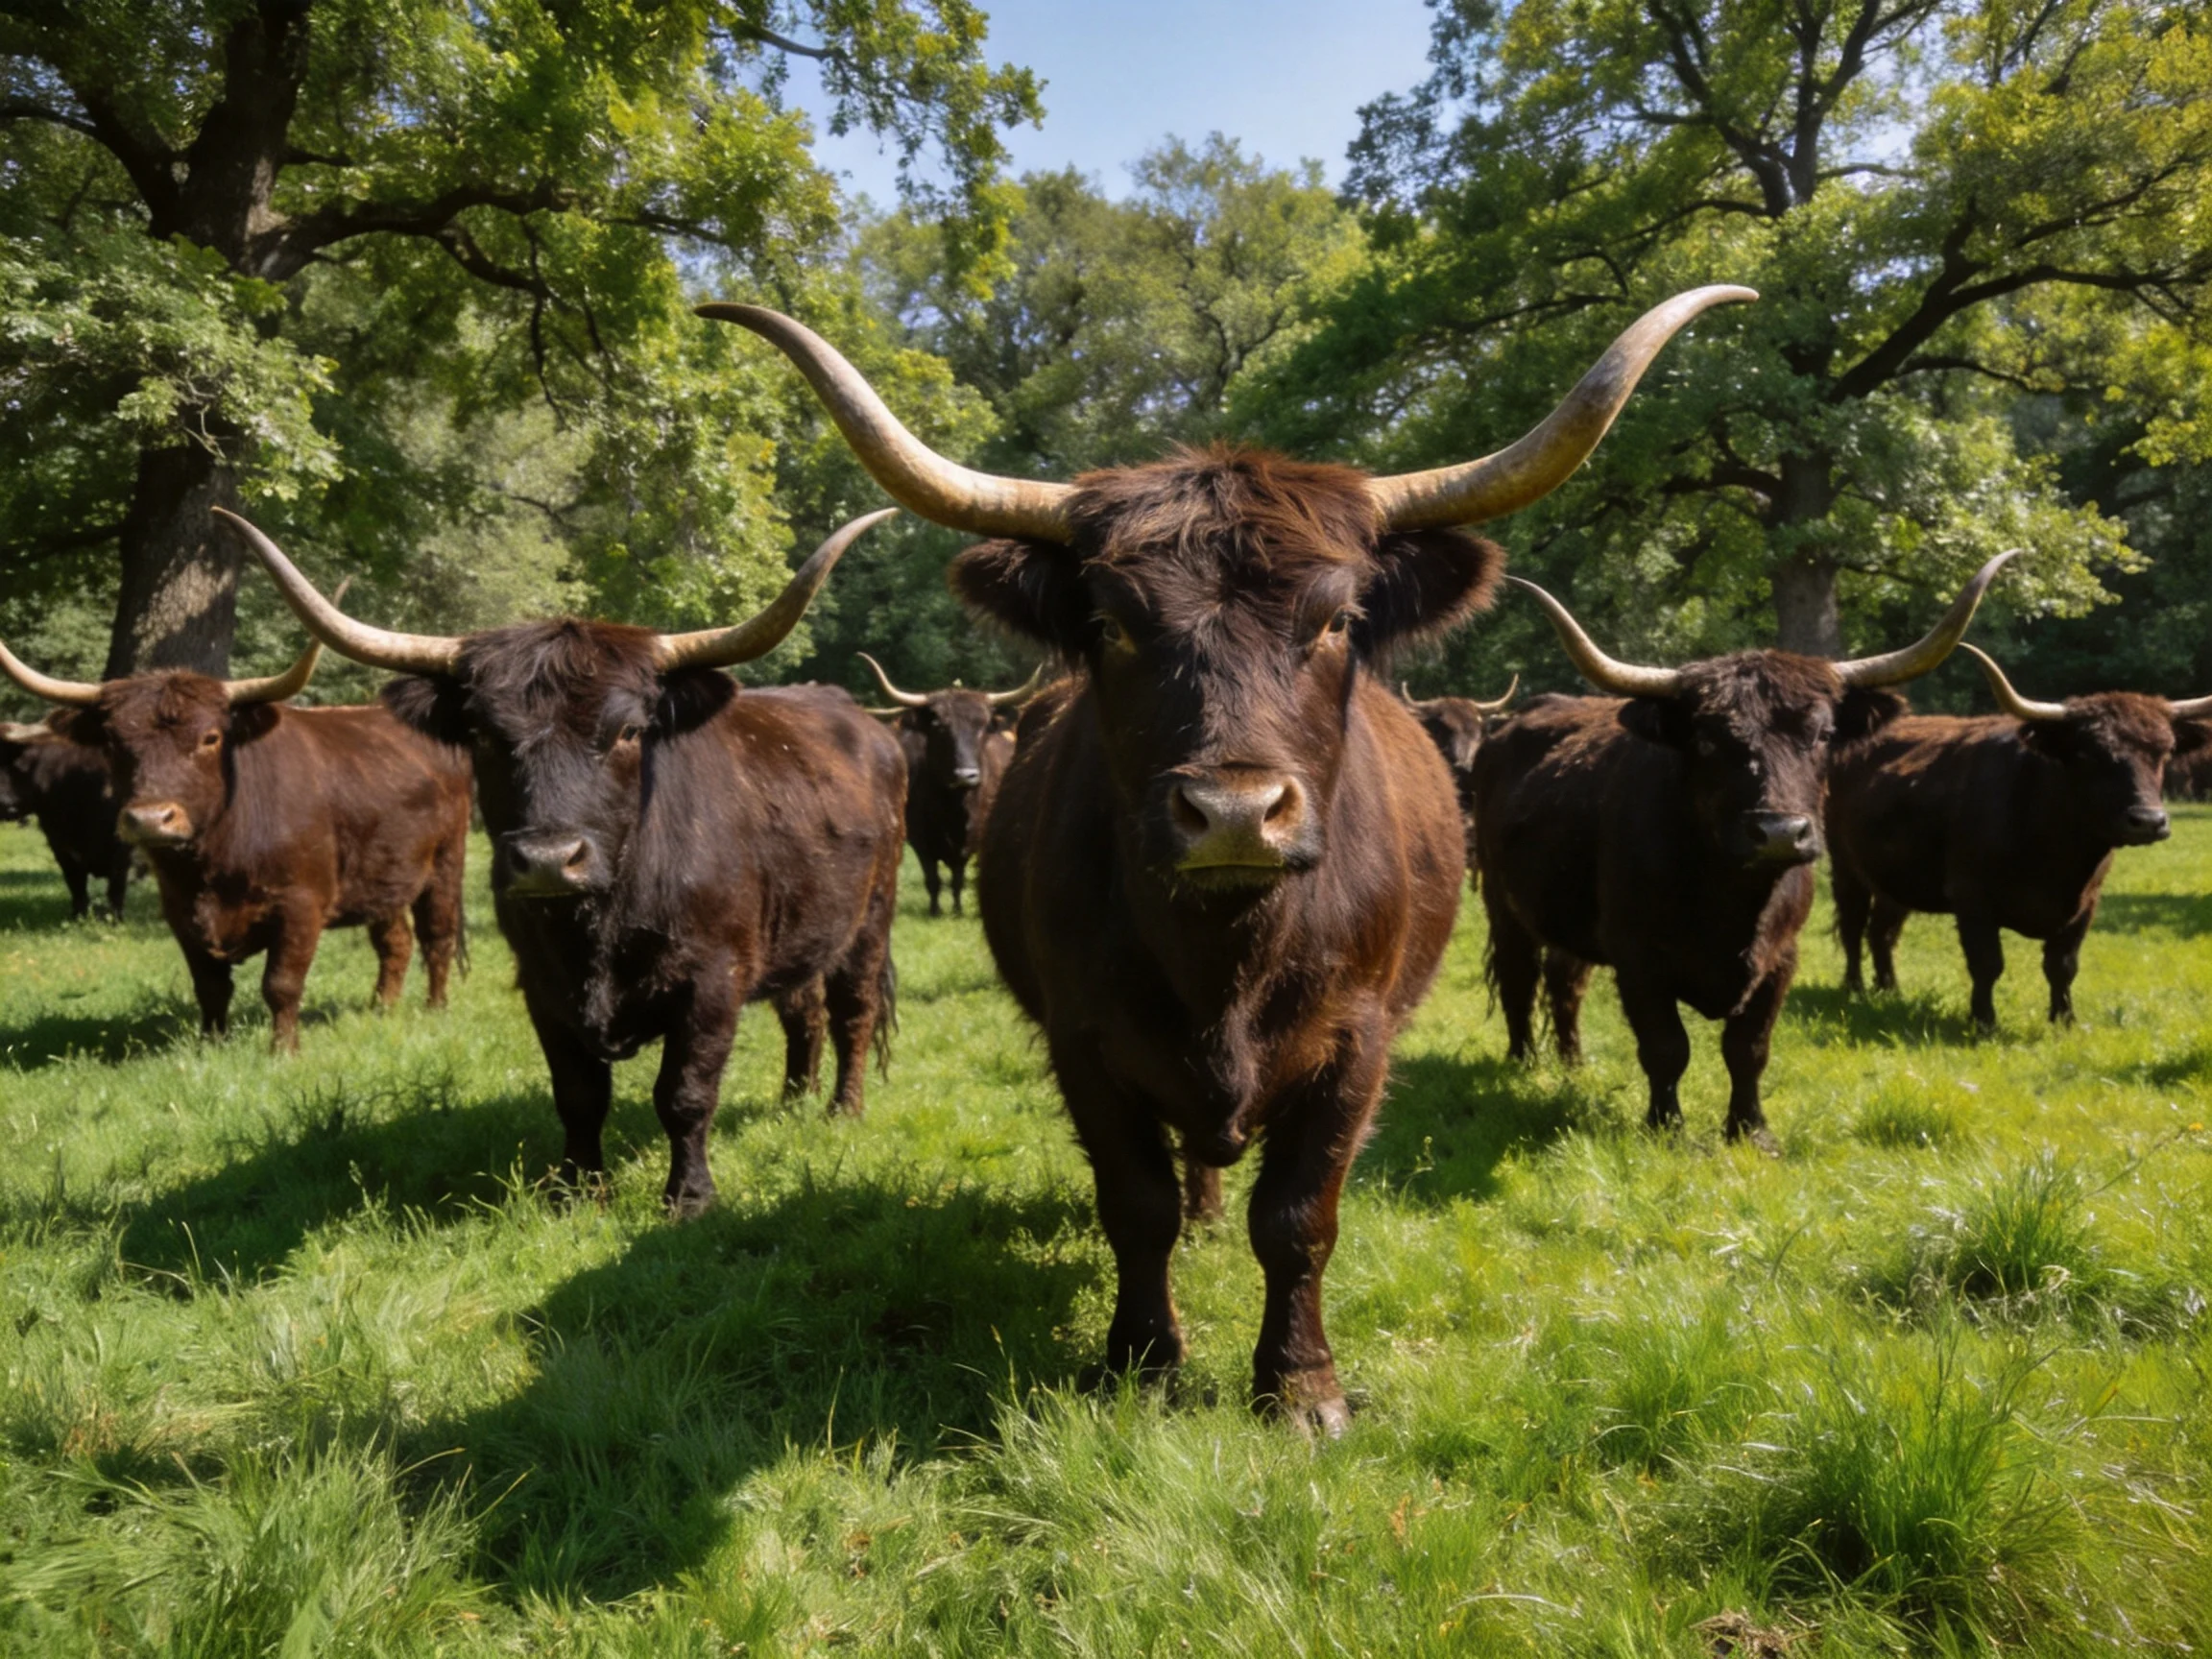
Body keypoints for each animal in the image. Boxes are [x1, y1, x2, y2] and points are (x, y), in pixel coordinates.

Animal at [0, 715, 134, 919]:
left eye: (16, 764)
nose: (4, 801)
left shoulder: (122, 846)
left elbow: (116, 885)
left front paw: (115, 918)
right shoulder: (60, 845)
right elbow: (75, 883)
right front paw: (78, 915)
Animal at [227, 508, 907, 1216]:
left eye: (630, 731)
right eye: (483, 734)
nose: (550, 860)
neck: (599, 926)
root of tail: (863, 722)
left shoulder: (713, 981)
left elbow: (686, 1093)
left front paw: (689, 1198)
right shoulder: (543, 986)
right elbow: (579, 1094)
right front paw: (577, 1189)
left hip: (870, 920)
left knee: (852, 1012)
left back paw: (842, 1109)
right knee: (804, 1012)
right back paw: (793, 1100)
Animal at [857, 653, 1039, 917]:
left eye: (982, 727)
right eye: (939, 727)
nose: (966, 775)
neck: (952, 809)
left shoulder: (971, 840)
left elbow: (957, 877)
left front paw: (957, 910)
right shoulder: (921, 841)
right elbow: (933, 879)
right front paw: (935, 910)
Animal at [1470, 556, 2012, 1149]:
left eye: (1822, 733)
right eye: (1708, 739)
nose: (1779, 832)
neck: (1730, 902)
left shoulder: (1780, 959)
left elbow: (1747, 1049)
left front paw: (1751, 1131)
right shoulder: (1639, 963)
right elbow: (1666, 1048)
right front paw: (1666, 1128)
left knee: (1565, 982)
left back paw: (1573, 1063)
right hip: (1502, 903)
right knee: (1519, 979)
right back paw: (1525, 1063)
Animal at [1826, 645, 2212, 1032]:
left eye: (2164, 751)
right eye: (2088, 753)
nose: (2148, 821)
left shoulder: (2086, 904)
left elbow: (2062, 966)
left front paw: (2064, 1021)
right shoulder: (1971, 898)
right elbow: (1987, 964)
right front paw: (1983, 1022)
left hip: (1893, 878)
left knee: (1882, 932)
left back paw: (1889, 990)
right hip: (1844, 867)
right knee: (1852, 926)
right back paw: (1854, 988)